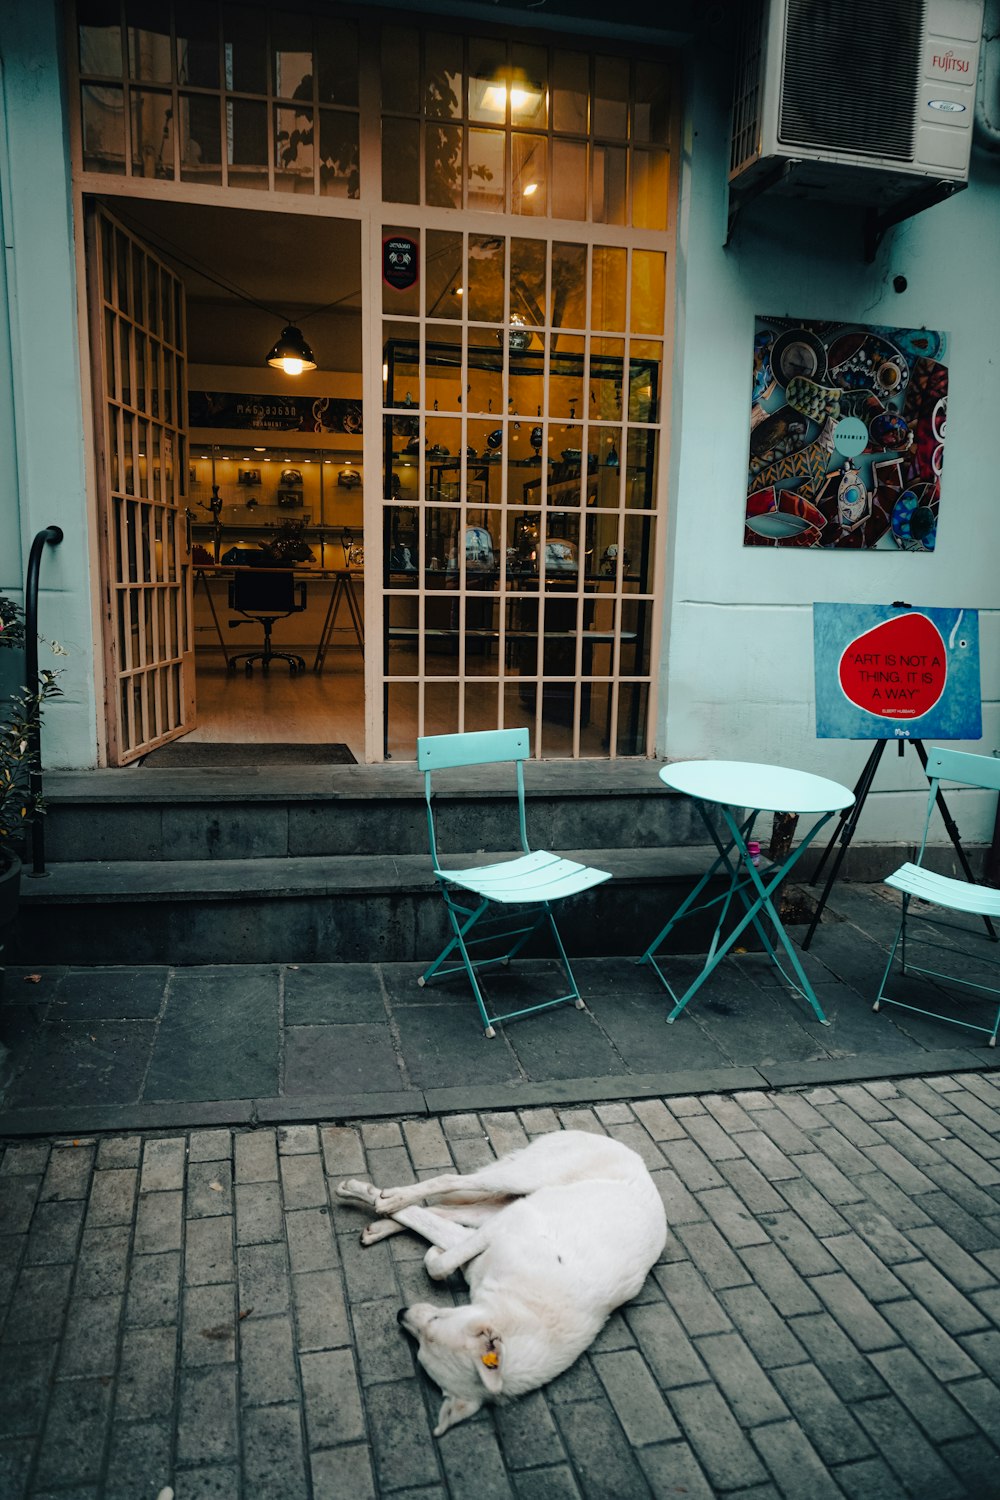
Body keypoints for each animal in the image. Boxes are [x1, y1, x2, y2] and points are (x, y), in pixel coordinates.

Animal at [334, 1128, 665, 1434]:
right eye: (439, 1317)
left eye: (422, 1341)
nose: (400, 1313)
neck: (523, 1307)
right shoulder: (504, 1225)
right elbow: (441, 1260)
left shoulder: (490, 1234)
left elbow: (436, 1255)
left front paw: (432, 1249)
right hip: (519, 1181)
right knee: (448, 1181)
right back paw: (378, 1194)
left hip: (496, 1205)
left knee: (442, 1209)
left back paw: (380, 1219)